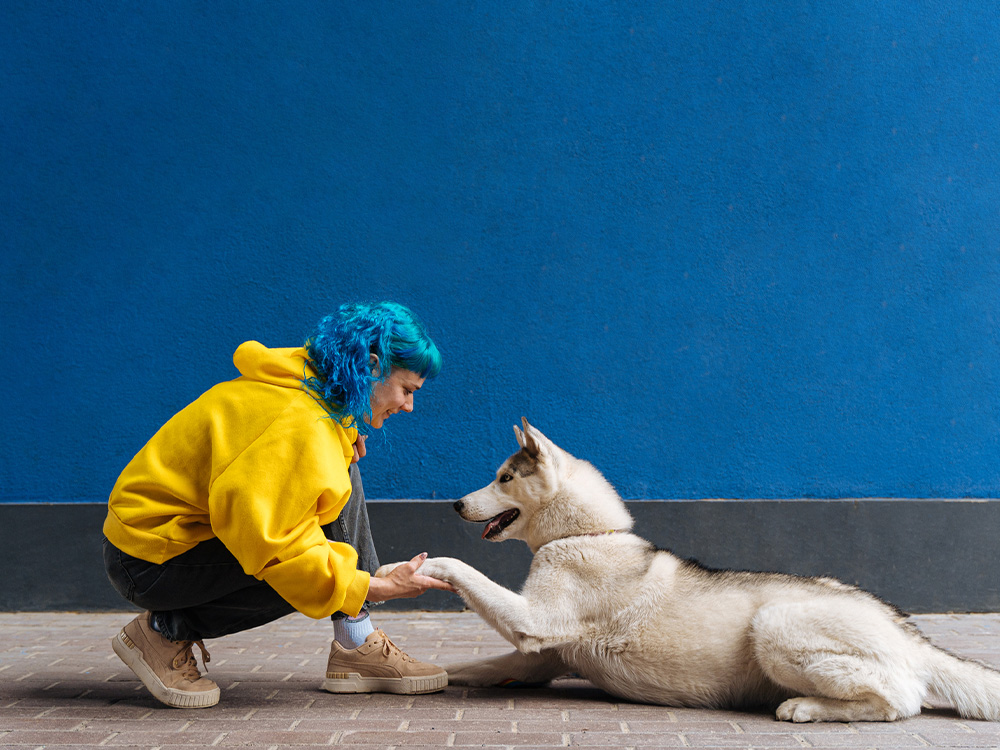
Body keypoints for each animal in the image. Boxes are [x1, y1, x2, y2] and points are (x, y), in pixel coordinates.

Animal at [376, 420, 1000, 724]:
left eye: (504, 478)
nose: (455, 504)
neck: (587, 535)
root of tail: (907, 629)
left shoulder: (533, 620)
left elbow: (463, 571)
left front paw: (417, 566)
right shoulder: (535, 660)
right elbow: (466, 668)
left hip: (776, 625)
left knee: (902, 699)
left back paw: (807, 708)